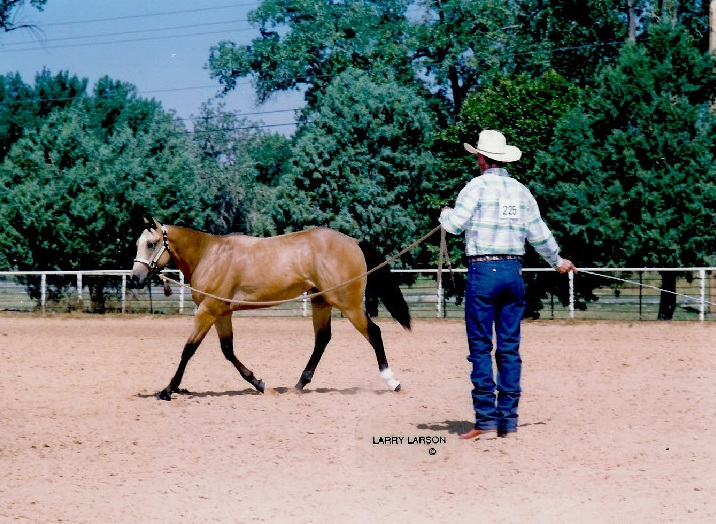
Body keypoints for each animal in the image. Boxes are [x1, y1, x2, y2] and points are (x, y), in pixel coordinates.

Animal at [126, 217, 412, 402]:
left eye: (151, 244)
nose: (135, 278)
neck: (209, 255)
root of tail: (353, 241)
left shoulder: (208, 310)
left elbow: (188, 350)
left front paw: (167, 390)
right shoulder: (222, 313)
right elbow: (228, 350)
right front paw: (261, 384)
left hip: (347, 303)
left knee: (373, 332)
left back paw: (393, 382)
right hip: (321, 302)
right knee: (322, 339)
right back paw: (299, 385)